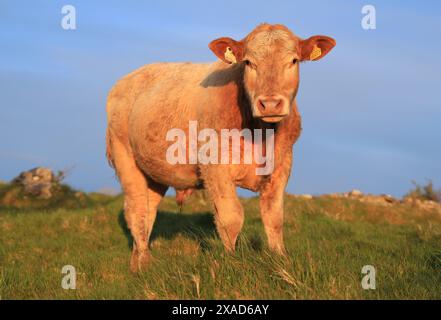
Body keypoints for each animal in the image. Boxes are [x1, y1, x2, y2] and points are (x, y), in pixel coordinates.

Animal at [105, 23, 334, 272]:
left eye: (293, 60)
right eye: (248, 62)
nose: (270, 103)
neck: (260, 135)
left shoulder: (282, 166)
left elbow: (274, 217)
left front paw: (280, 259)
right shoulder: (214, 166)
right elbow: (231, 216)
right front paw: (232, 262)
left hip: (155, 173)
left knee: (148, 211)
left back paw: (138, 264)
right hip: (125, 156)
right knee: (136, 210)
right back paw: (145, 262)